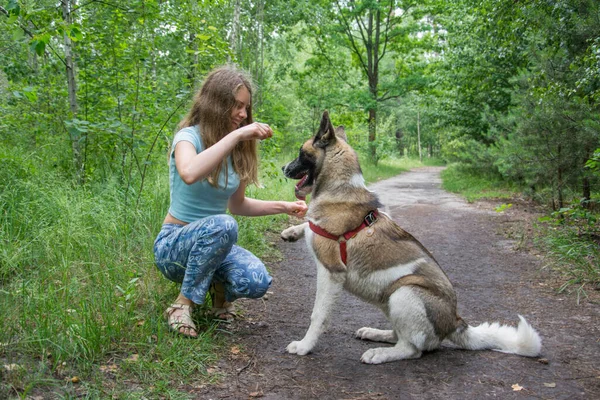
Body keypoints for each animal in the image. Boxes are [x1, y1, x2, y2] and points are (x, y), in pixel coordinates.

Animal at [278, 111, 540, 364]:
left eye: (301, 153)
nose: (282, 168)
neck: (340, 188)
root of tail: (455, 322)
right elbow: (308, 225)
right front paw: (292, 232)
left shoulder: (331, 272)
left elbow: (318, 315)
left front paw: (304, 346)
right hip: (389, 299)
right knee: (399, 334)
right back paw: (376, 333)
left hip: (404, 293)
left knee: (412, 349)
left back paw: (380, 354)